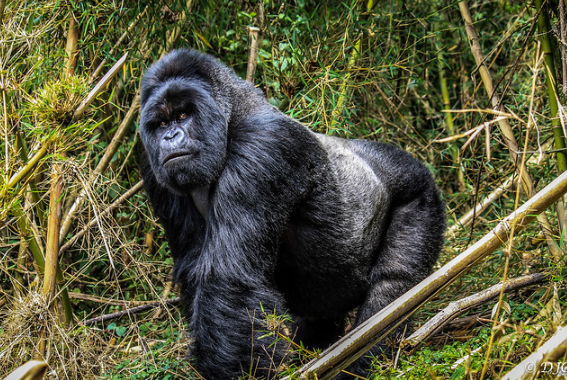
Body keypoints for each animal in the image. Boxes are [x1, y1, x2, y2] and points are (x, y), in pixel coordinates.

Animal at [139, 49, 448, 378]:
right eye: (161, 123)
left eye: (183, 116)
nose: (170, 137)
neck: (232, 114)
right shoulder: (152, 166)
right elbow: (195, 268)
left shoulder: (265, 144)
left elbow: (229, 278)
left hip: (419, 192)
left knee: (393, 289)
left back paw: (365, 358)